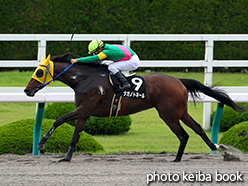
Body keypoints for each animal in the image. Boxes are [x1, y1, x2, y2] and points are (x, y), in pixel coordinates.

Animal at [24, 53, 243, 162]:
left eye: (39, 72)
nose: (27, 90)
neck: (85, 79)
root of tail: (179, 80)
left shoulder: (84, 108)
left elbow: (59, 119)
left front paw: (41, 144)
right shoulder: (84, 113)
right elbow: (75, 135)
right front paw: (67, 158)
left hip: (168, 115)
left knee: (183, 135)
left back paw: (177, 159)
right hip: (180, 112)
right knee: (197, 129)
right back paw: (216, 147)